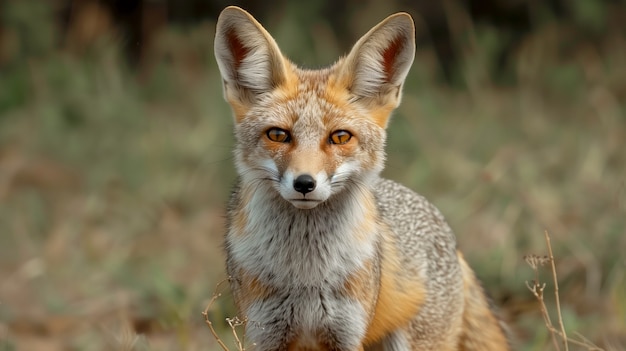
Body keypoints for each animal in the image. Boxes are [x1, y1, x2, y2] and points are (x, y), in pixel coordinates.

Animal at [212, 5, 510, 351]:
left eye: (340, 137)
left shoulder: (345, 333)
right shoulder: (266, 334)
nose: (304, 183)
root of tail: (450, 237)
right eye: (277, 135)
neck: (306, 277)